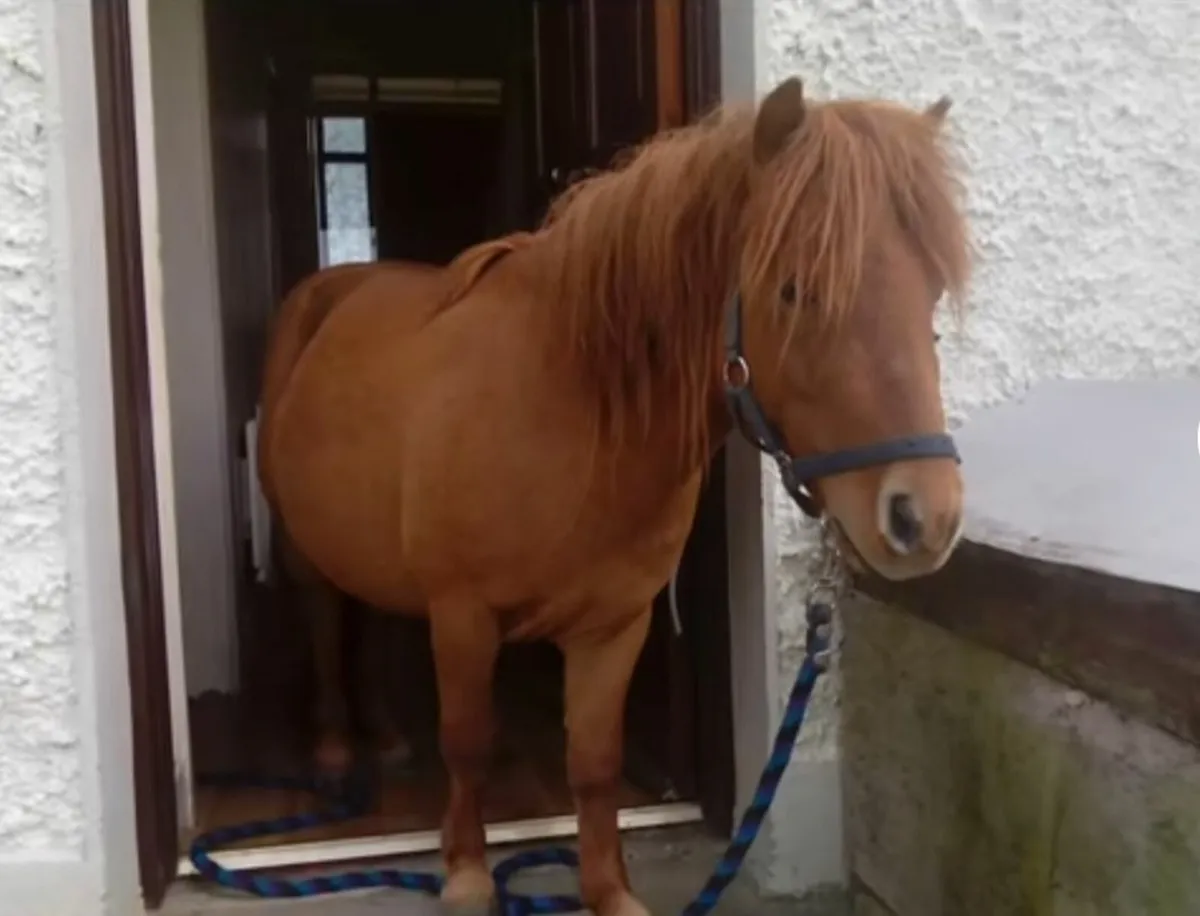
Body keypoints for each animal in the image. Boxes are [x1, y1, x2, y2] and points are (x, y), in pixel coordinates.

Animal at [257, 76, 972, 916]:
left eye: (932, 290)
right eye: (796, 288)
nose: (925, 516)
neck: (570, 414)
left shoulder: (614, 626)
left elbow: (594, 765)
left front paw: (607, 890)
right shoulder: (463, 615)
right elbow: (466, 742)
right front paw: (465, 872)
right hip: (306, 549)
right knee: (322, 620)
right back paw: (338, 749)